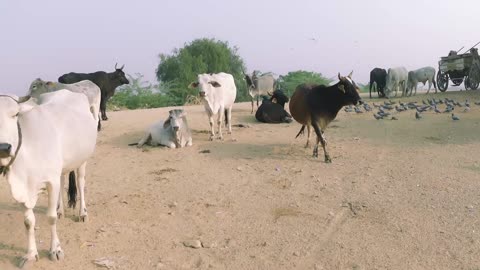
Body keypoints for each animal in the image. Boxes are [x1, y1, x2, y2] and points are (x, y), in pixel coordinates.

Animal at [0, 90, 97, 266]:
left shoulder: (50, 182)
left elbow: (50, 218)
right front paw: (31, 254)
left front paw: (55, 250)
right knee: (63, 180)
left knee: (80, 183)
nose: (3, 148)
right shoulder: (25, 188)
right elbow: (28, 222)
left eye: (15, 114)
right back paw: (60, 210)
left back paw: (82, 213)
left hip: (82, 160)